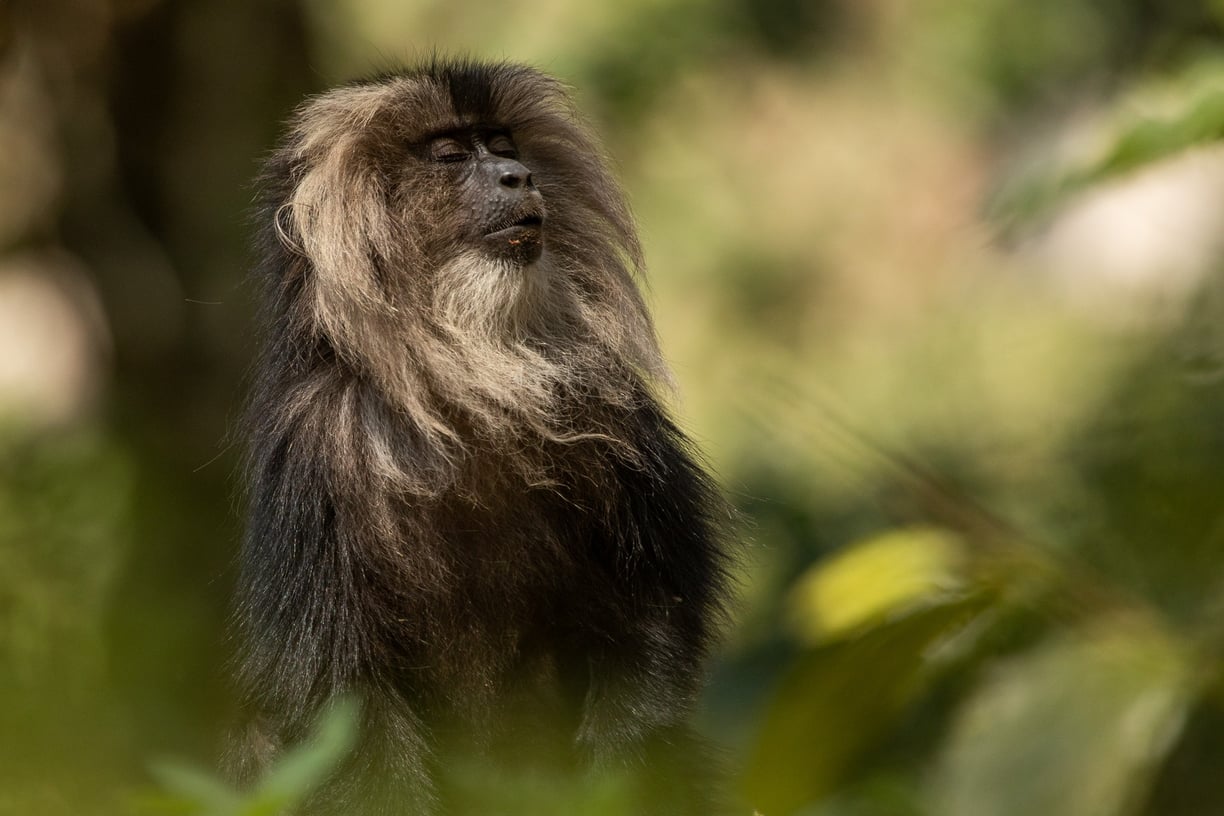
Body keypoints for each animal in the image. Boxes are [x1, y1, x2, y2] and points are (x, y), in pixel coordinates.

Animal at [232, 59, 734, 816]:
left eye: (501, 144)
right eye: (449, 156)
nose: (516, 176)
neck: (461, 383)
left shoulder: (612, 418)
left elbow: (652, 614)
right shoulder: (319, 445)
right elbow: (339, 704)